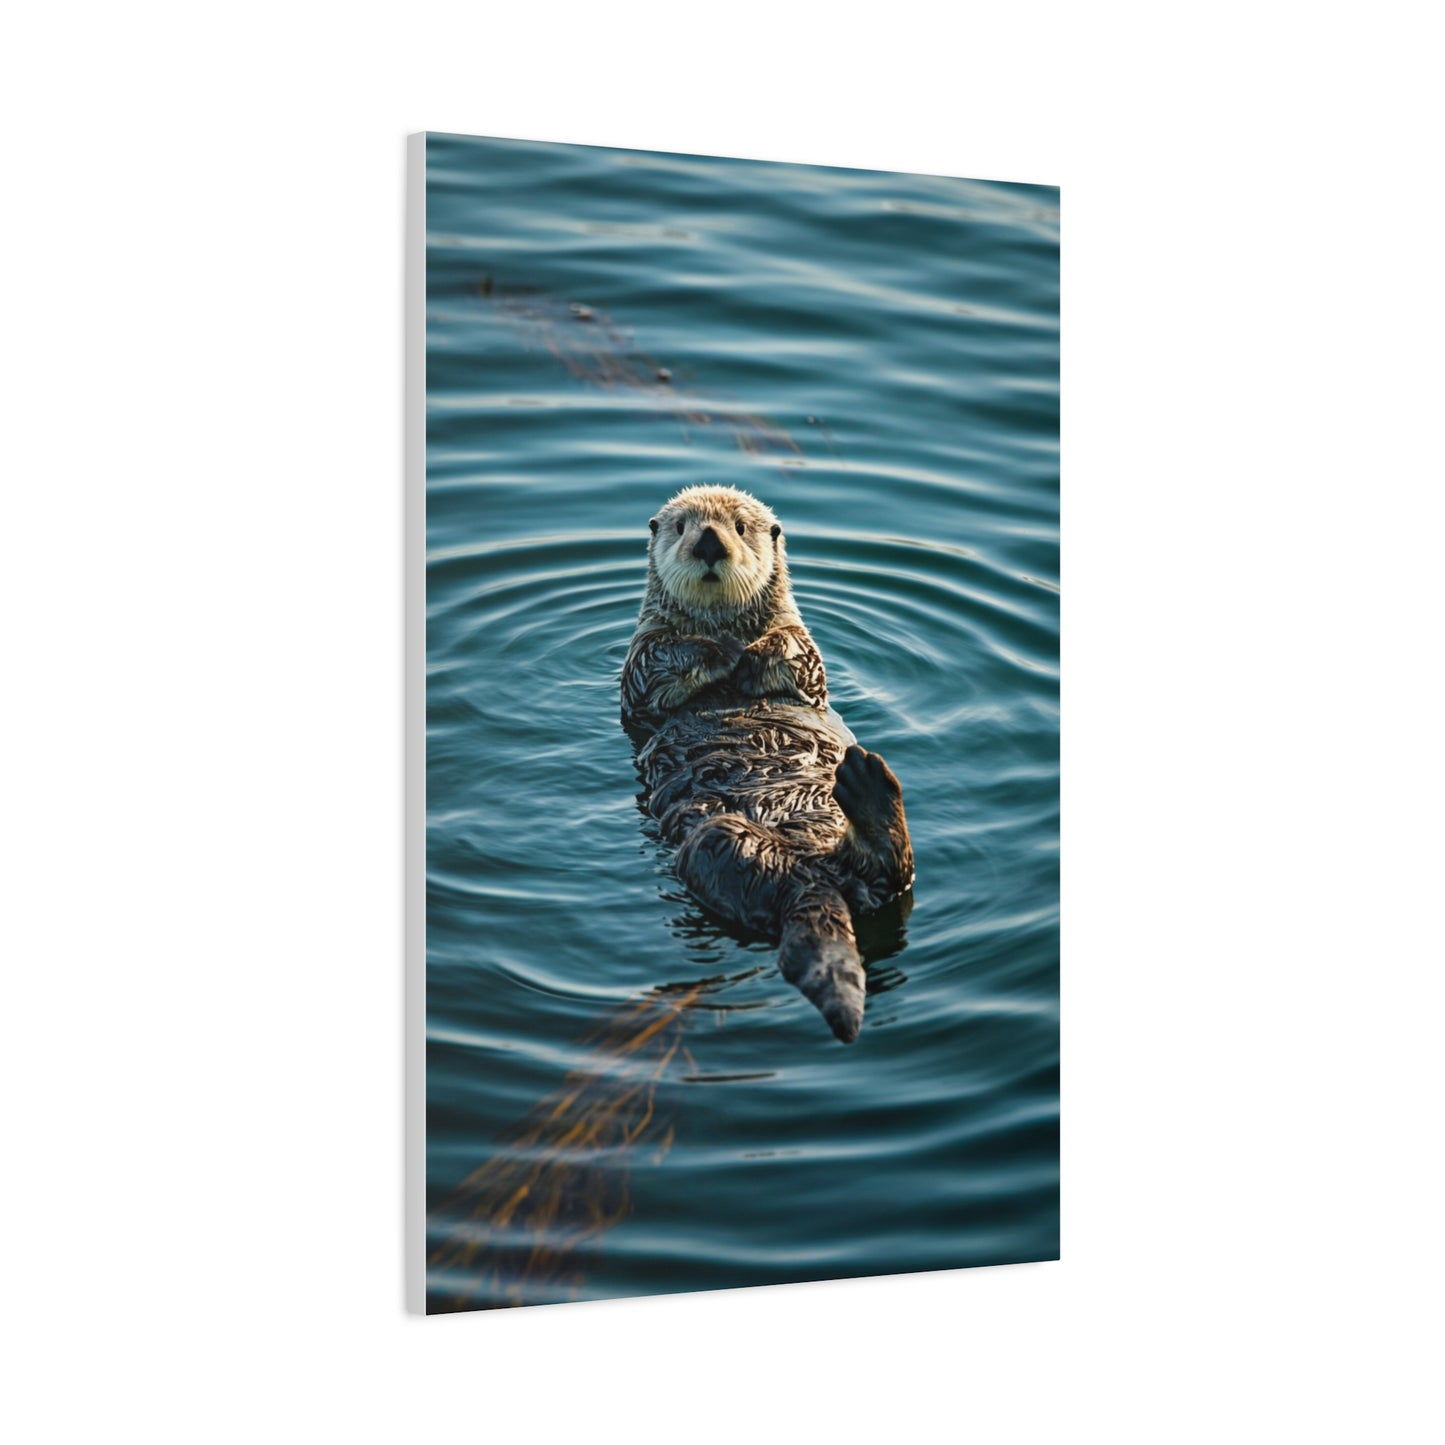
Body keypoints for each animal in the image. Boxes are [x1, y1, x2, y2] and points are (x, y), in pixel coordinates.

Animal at [620, 485, 914, 1042]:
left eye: (739, 526)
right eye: (682, 526)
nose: (709, 542)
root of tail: (816, 880)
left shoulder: (805, 651)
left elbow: (798, 654)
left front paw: (751, 654)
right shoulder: (641, 660)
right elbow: (660, 659)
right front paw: (720, 650)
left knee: (890, 876)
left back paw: (867, 789)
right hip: (718, 846)